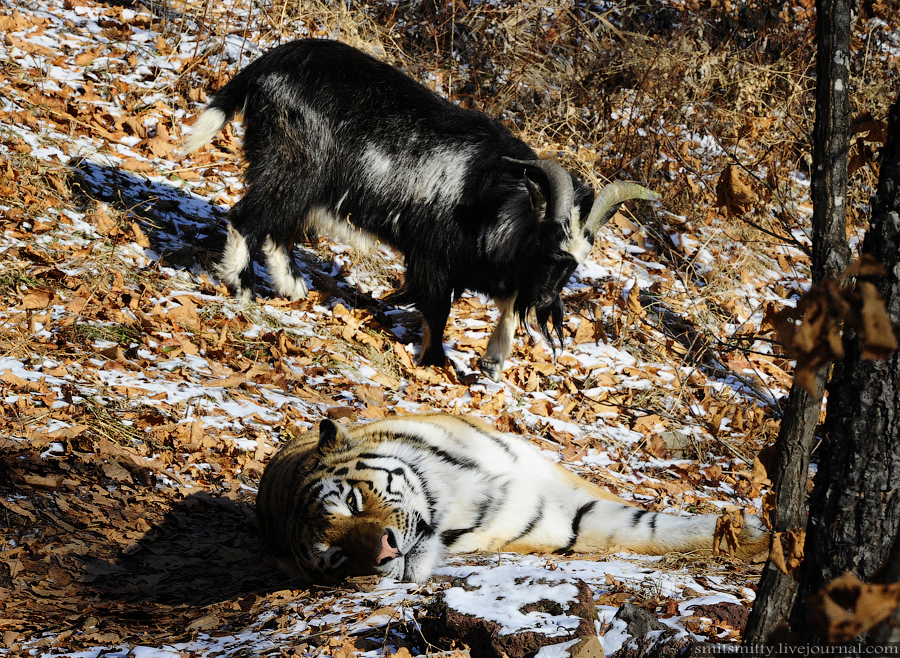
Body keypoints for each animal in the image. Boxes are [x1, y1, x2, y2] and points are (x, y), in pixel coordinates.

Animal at [179, 39, 656, 380]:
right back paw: (242, 289)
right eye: (547, 243)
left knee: (277, 227)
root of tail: (267, 65)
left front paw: (491, 364)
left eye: (576, 263)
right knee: (247, 217)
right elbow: (437, 309)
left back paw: (292, 287)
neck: (492, 196)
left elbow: (504, 310)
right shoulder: (433, 257)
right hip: (292, 165)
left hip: (303, 180)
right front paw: (434, 362)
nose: (544, 302)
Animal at [256, 412, 768, 580]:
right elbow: (644, 529)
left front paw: (757, 534)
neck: (452, 494)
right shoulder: (557, 524)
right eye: (336, 558)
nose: (384, 554)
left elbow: (652, 522)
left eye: (352, 503)